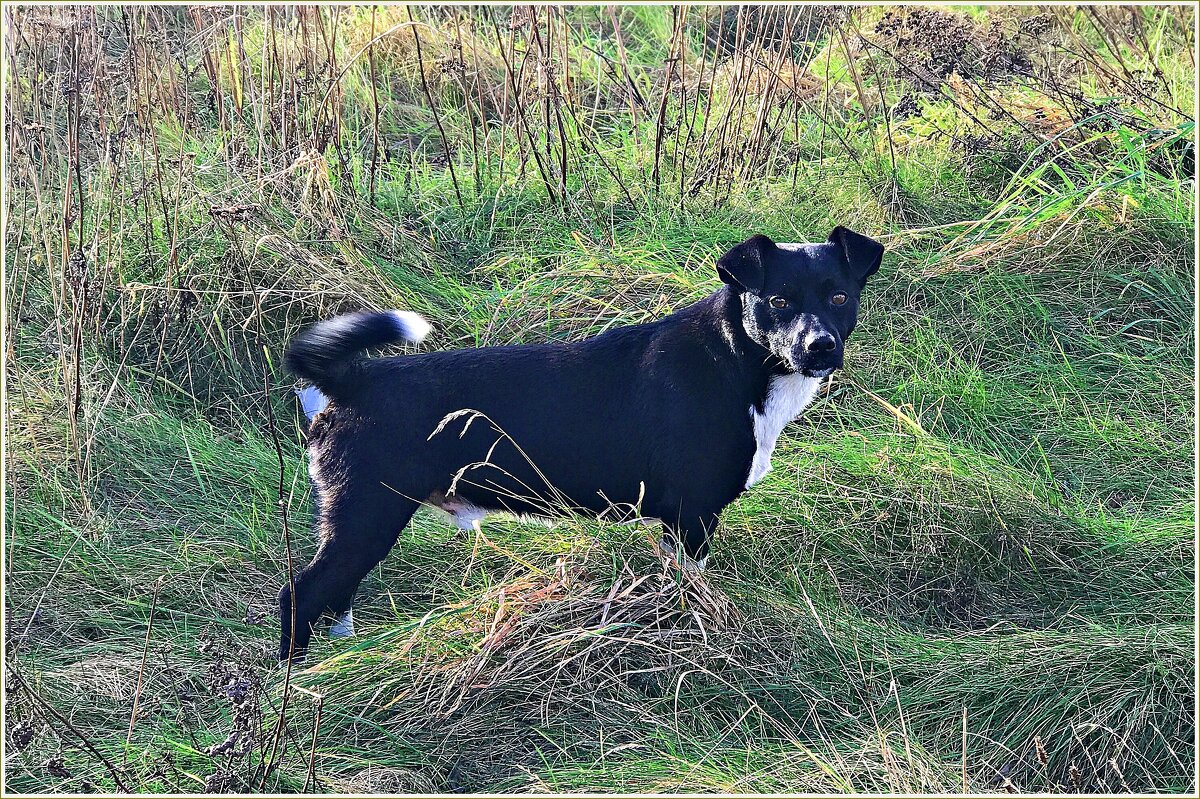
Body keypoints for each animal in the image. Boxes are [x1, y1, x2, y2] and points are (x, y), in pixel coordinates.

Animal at [280, 226, 883, 657]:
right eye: (778, 301)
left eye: (838, 296)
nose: (820, 346)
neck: (736, 358)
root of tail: (352, 381)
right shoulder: (692, 515)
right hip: (365, 517)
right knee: (298, 598)